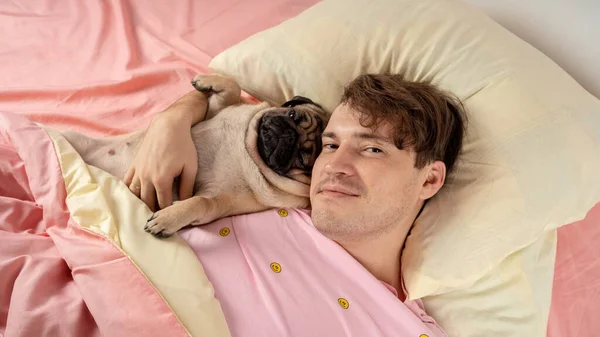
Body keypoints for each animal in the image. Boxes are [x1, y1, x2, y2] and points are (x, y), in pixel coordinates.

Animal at [61, 74, 328, 236]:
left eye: (302, 159)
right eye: (293, 115)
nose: (288, 135)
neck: (249, 149)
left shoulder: (222, 202)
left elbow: (199, 203)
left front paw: (168, 219)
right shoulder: (216, 110)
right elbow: (233, 88)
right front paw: (207, 81)